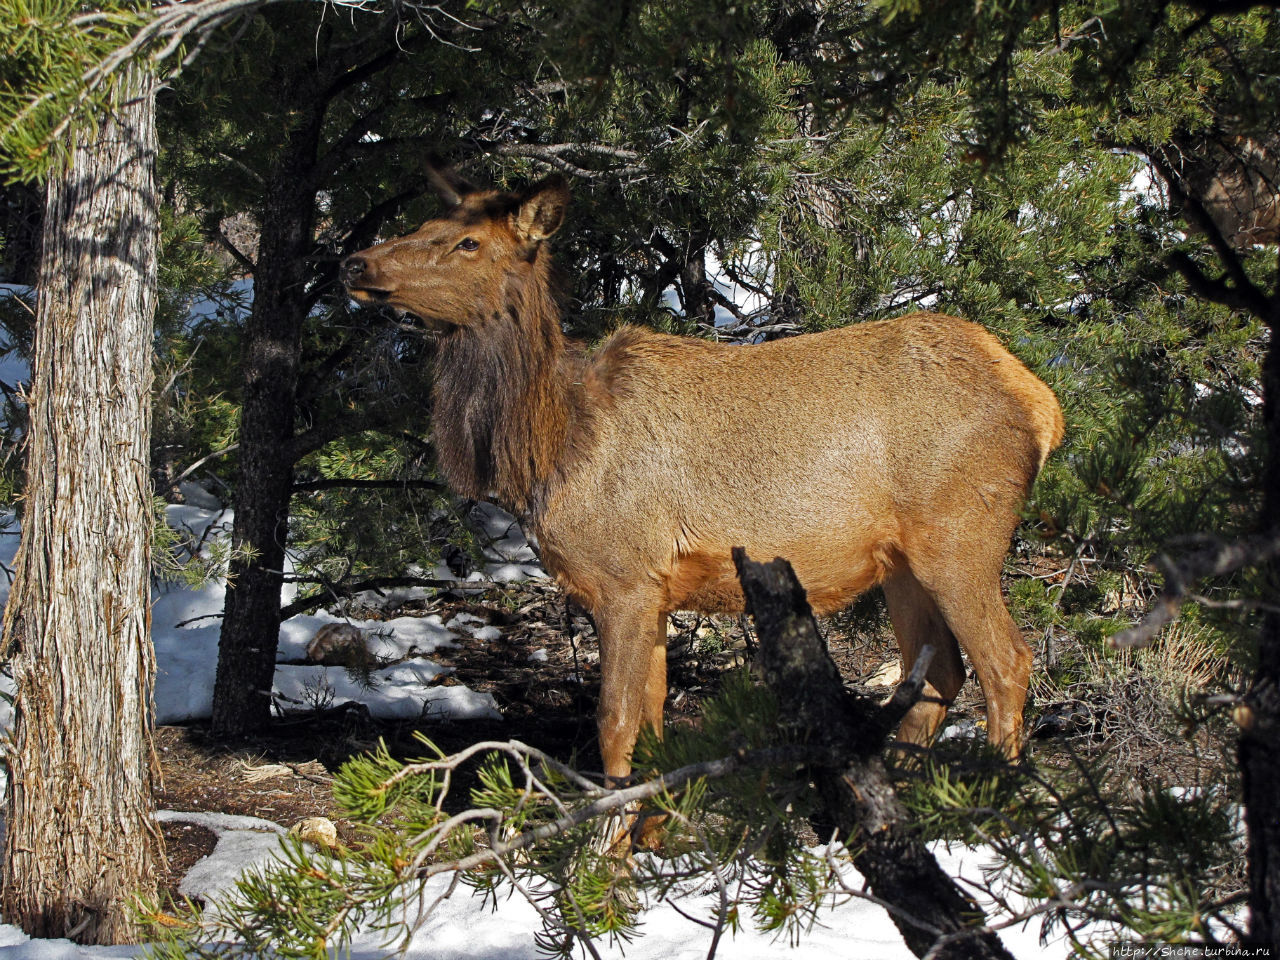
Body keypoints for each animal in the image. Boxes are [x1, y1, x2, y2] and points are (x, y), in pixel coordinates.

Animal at [345, 176, 1064, 783]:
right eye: (426, 221)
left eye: (469, 242)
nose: (356, 263)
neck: (552, 450)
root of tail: (1041, 404)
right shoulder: (657, 590)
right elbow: (655, 722)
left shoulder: (625, 577)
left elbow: (614, 723)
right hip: (902, 562)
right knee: (940, 672)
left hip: (962, 535)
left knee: (1007, 663)